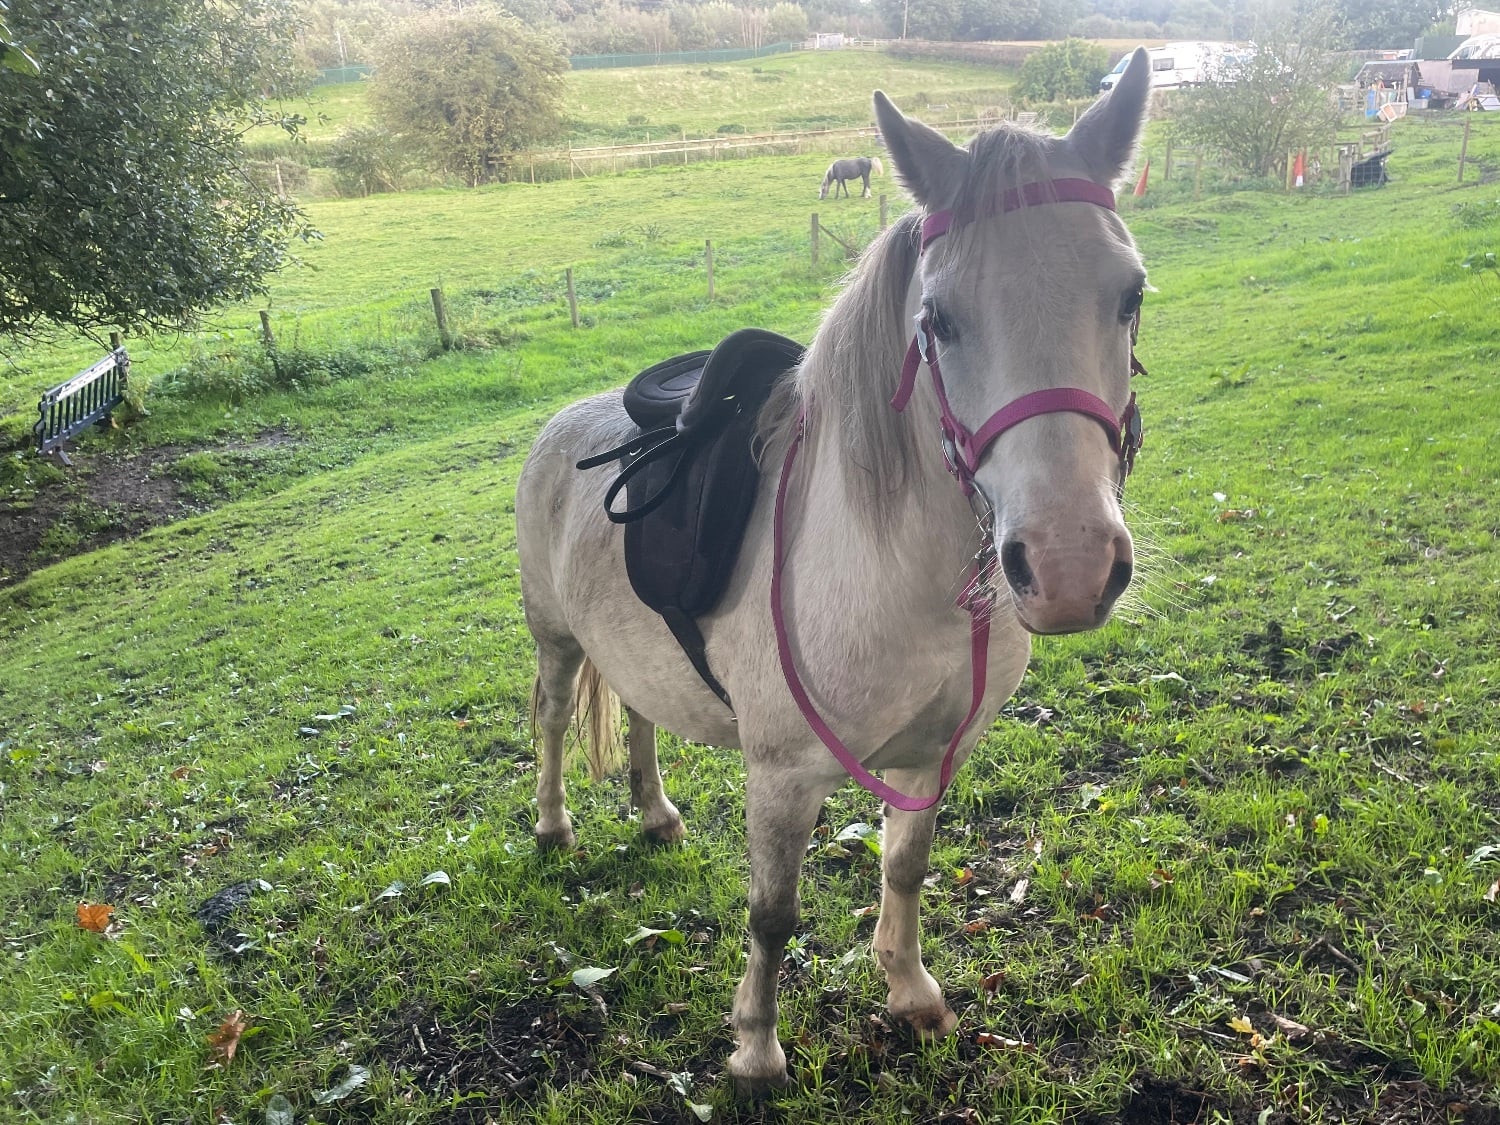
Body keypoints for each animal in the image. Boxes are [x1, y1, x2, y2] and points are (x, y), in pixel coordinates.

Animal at [515, 46, 1153, 1096]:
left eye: (1130, 294)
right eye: (939, 319)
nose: (1066, 565)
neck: (901, 577)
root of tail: (563, 423)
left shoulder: (933, 757)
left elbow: (905, 868)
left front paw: (911, 993)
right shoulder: (782, 777)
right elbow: (773, 913)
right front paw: (756, 1047)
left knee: (641, 711)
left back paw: (655, 814)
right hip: (557, 641)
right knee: (557, 721)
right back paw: (555, 825)